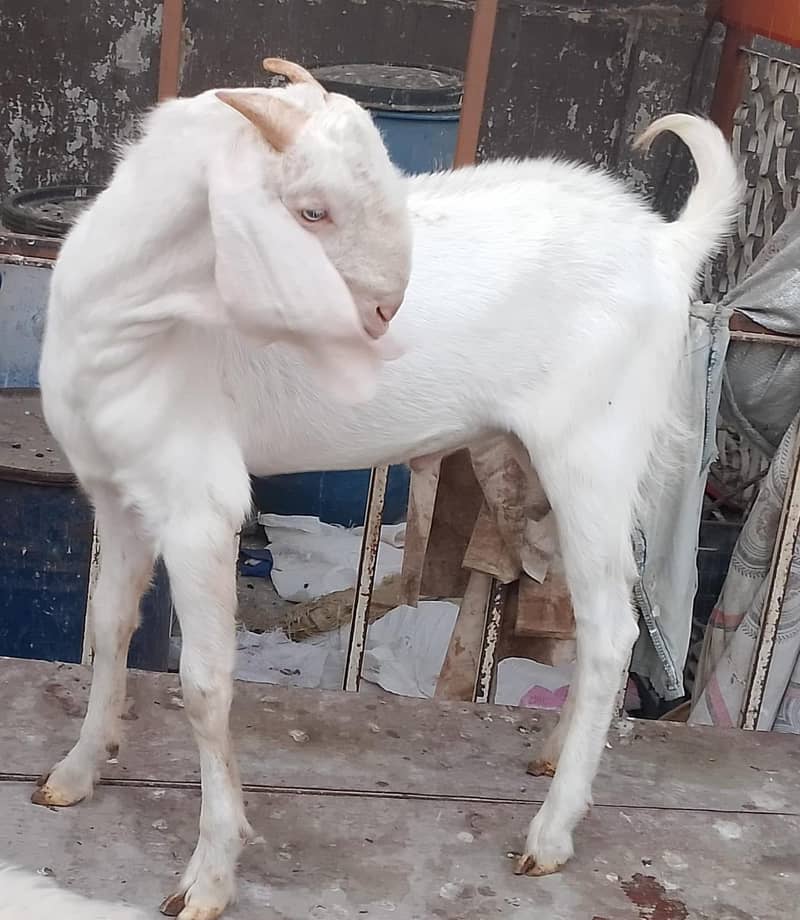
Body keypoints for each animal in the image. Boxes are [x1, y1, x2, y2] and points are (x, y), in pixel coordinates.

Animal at [36, 46, 740, 919]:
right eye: (312, 211)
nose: (384, 315)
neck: (131, 318)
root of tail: (668, 244)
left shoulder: (198, 503)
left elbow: (204, 685)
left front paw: (210, 871)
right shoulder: (118, 490)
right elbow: (107, 627)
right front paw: (77, 769)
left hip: (594, 451)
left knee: (612, 627)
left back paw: (551, 833)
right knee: (601, 616)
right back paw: (552, 753)